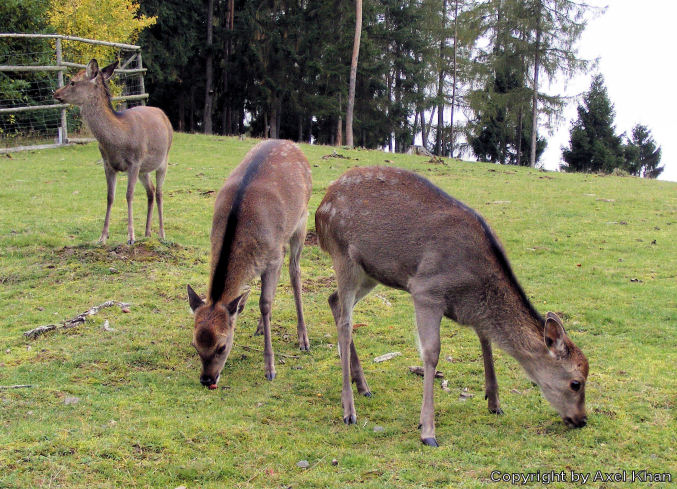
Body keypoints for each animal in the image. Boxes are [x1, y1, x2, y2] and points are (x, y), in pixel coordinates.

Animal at [54, 58, 173, 244]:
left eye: (72, 82)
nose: (56, 93)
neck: (117, 141)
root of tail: (164, 115)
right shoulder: (108, 164)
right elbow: (110, 197)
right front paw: (102, 236)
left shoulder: (134, 162)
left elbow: (129, 195)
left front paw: (131, 237)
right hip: (144, 170)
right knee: (151, 191)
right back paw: (147, 233)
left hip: (163, 159)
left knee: (160, 192)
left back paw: (161, 234)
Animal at [185, 139, 312, 386]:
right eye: (195, 345)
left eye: (222, 346)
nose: (207, 379)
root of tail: (293, 144)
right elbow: (261, 300)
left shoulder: (274, 256)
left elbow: (264, 303)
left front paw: (270, 368)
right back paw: (262, 327)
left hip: (302, 221)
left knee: (295, 272)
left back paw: (303, 339)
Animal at [316, 167, 588, 446]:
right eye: (576, 383)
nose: (582, 420)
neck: (475, 289)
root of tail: (322, 205)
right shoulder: (426, 290)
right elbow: (431, 353)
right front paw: (427, 431)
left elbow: (485, 340)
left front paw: (495, 403)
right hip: (343, 256)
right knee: (346, 323)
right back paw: (349, 409)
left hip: (371, 273)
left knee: (333, 300)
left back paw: (363, 386)